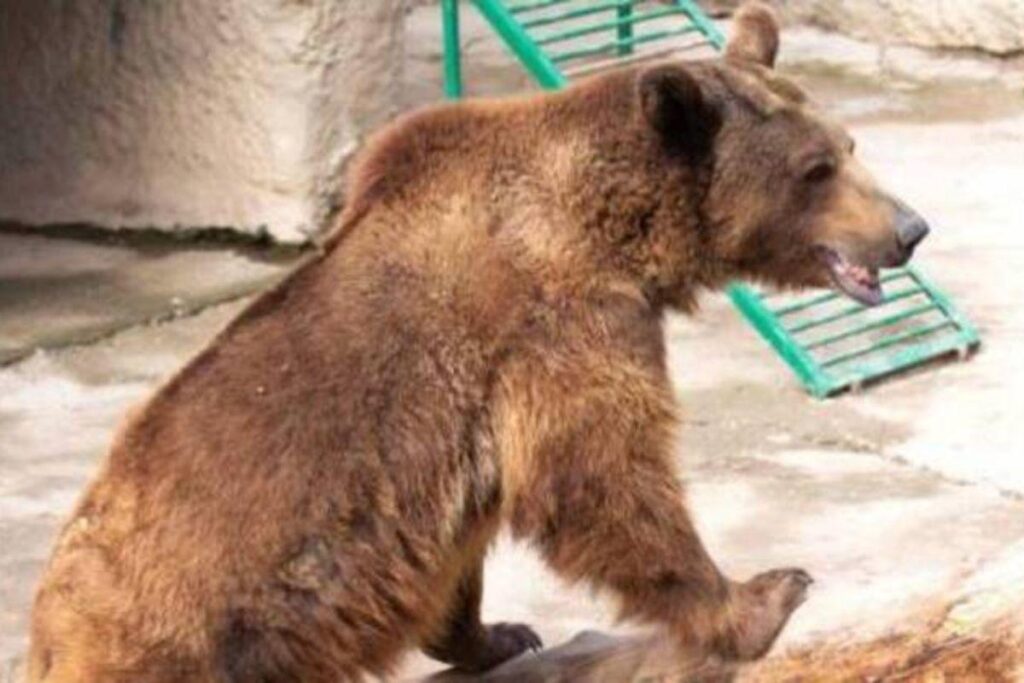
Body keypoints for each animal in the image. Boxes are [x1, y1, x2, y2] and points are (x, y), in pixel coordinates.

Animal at [27, 3, 929, 681]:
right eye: (815, 169)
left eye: (848, 145)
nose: (910, 228)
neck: (618, 231)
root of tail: (45, 635)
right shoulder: (558, 324)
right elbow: (601, 476)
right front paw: (765, 593)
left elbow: (470, 538)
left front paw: (499, 632)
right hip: (190, 641)